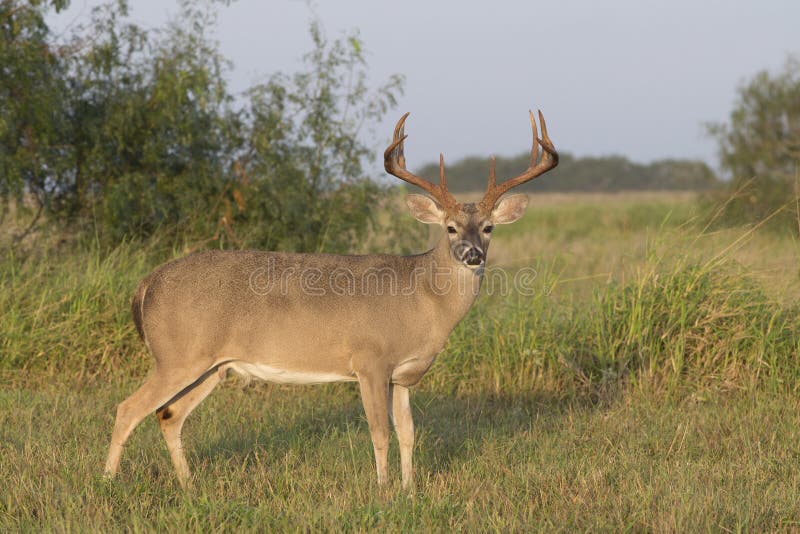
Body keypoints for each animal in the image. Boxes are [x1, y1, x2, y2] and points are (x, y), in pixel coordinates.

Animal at [103, 111, 560, 492]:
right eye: (449, 228)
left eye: (488, 228)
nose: (473, 255)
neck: (422, 298)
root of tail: (146, 284)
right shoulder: (370, 360)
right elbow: (380, 431)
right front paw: (383, 490)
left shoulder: (401, 375)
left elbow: (409, 433)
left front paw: (410, 490)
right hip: (177, 356)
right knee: (128, 408)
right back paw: (108, 481)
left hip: (212, 366)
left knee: (168, 415)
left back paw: (189, 484)